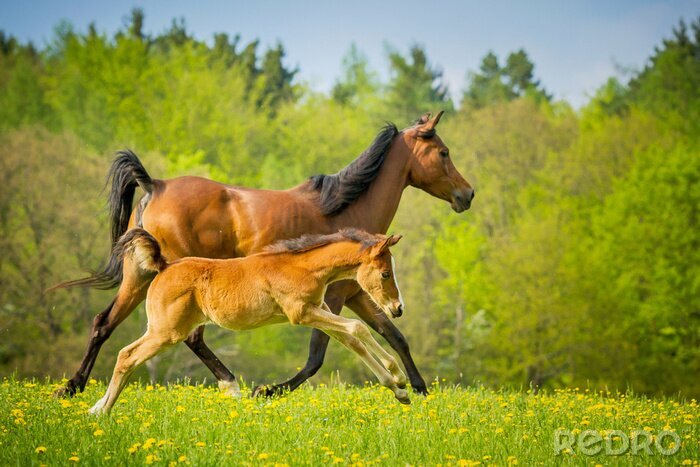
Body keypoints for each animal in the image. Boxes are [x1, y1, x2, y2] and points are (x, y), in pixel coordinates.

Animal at [93, 227, 410, 414]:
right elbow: (358, 328)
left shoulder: (319, 311)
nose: (397, 308)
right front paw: (399, 376)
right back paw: (103, 411)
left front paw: (398, 390)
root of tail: (164, 266)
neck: (302, 267)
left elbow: (351, 340)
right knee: (127, 356)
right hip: (166, 331)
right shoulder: (302, 313)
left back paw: (97, 408)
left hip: (164, 330)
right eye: (385, 273)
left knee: (127, 356)